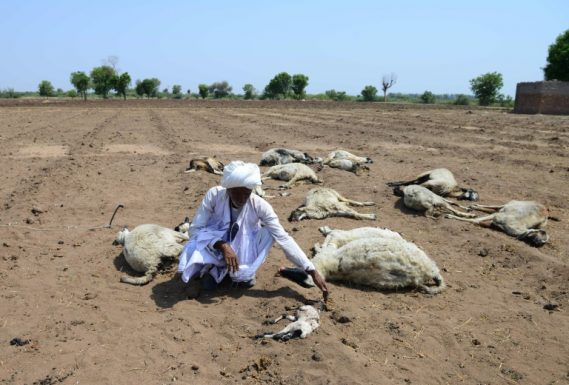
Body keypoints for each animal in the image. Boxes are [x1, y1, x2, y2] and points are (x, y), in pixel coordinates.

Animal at [276, 226, 444, 292]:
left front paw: (319, 243)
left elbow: (329, 239)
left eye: (299, 273)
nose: (281, 271)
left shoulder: (332, 245)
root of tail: (430, 271)